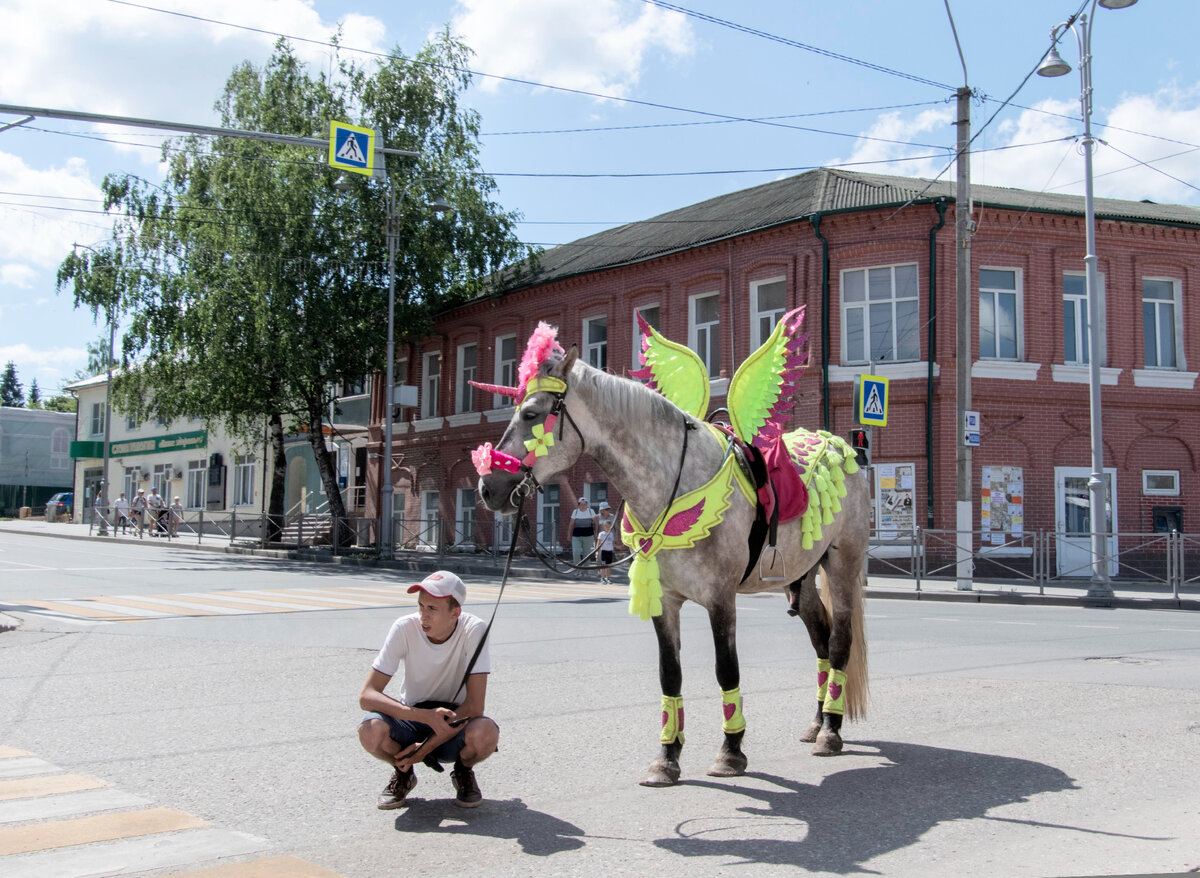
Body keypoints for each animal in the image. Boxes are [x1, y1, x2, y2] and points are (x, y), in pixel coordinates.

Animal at [472, 340, 868, 782]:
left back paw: (830, 732)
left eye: (531, 414)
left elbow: (726, 668)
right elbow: (670, 674)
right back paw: (818, 721)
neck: (674, 484)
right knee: (820, 638)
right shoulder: (665, 600)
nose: (487, 488)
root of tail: (840, 447)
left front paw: (730, 752)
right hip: (800, 578)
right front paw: (667, 757)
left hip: (842, 567)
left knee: (839, 642)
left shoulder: (720, 599)